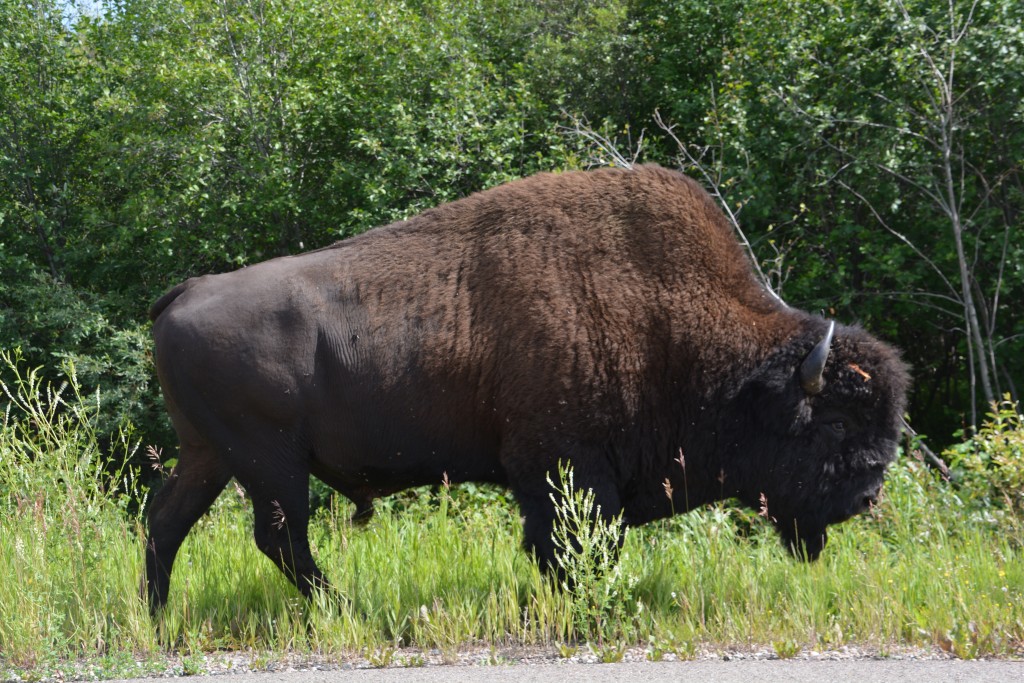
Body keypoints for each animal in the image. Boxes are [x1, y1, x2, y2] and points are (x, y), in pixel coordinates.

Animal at [145, 165, 910, 611]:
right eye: (836, 421)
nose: (868, 495)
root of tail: (187, 291)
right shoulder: (562, 466)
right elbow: (569, 544)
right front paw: (582, 603)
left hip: (211, 455)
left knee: (168, 520)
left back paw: (160, 617)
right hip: (270, 463)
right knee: (279, 537)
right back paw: (342, 606)